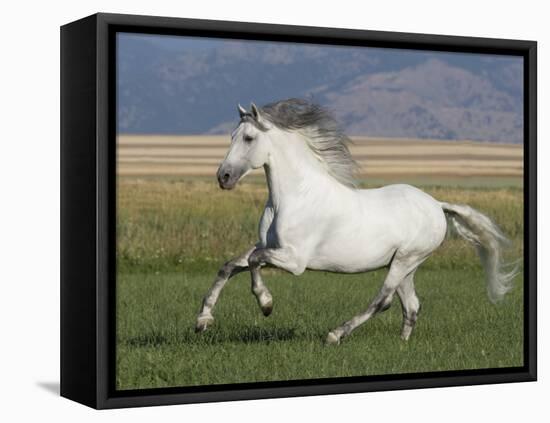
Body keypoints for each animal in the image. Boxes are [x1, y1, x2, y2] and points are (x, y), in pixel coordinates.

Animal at [196, 98, 520, 344]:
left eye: (249, 138)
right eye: (231, 136)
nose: (223, 177)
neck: (294, 197)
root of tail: (437, 205)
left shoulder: (294, 260)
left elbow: (254, 263)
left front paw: (266, 304)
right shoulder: (266, 245)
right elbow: (229, 266)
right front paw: (203, 321)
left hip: (406, 259)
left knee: (383, 300)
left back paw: (335, 335)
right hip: (405, 265)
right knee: (411, 305)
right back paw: (401, 345)